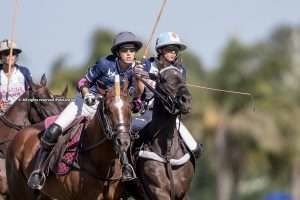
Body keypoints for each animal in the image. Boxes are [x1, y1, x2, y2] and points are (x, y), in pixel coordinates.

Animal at [129, 66, 195, 199]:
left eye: (182, 77)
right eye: (163, 79)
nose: (186, 100)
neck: (168, 154)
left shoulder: (183, 192)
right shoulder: (158, 191)